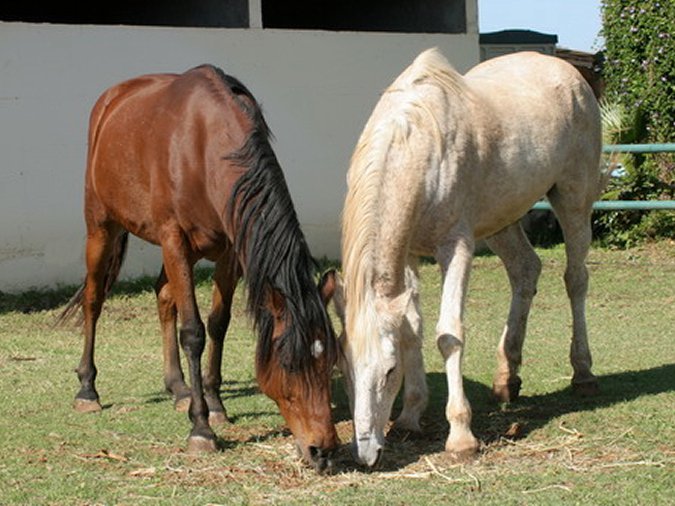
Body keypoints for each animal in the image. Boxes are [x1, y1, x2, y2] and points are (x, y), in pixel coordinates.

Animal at [59, 65, 338, 472]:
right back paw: (87, 389)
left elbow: (218, 323)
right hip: (102, 227)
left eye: (332, 359)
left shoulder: (230, 251)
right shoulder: (174, 240)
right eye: (288, 364)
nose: (323, 450)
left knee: (163, 297)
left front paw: (214, 403)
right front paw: (201, 428)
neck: (205, 147)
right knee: (94, 299)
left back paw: (179, 387)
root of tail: (110, 100)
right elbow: (193, 331)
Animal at [336, 48, 604, 466]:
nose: (365, 452)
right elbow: (412, 330)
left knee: (575, 280)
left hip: (573, 199)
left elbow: (449, 335)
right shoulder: (408, 255)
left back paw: (583, 374)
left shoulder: (456, 246)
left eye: (390, 371)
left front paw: (461, 436)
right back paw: (507, 378)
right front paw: (411, 415)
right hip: (501, 220)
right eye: (344, 368)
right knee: (525, 271)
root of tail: (566, 70)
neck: (421, 144)